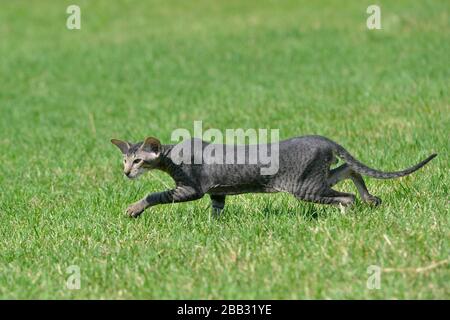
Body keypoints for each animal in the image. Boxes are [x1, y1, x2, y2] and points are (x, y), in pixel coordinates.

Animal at [110, 135, 438, 218]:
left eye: (137, 160)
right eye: (124, 160)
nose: (126, 172)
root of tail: (325, 140)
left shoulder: (190, 189)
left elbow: (153, 195)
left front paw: (133, 209)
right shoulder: (217, 191)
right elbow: (216, 211)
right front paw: (214, 228)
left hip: (305, 186)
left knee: (345, 196)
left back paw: (348, 213)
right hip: (317, 178)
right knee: (350, 169)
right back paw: (371, 198)